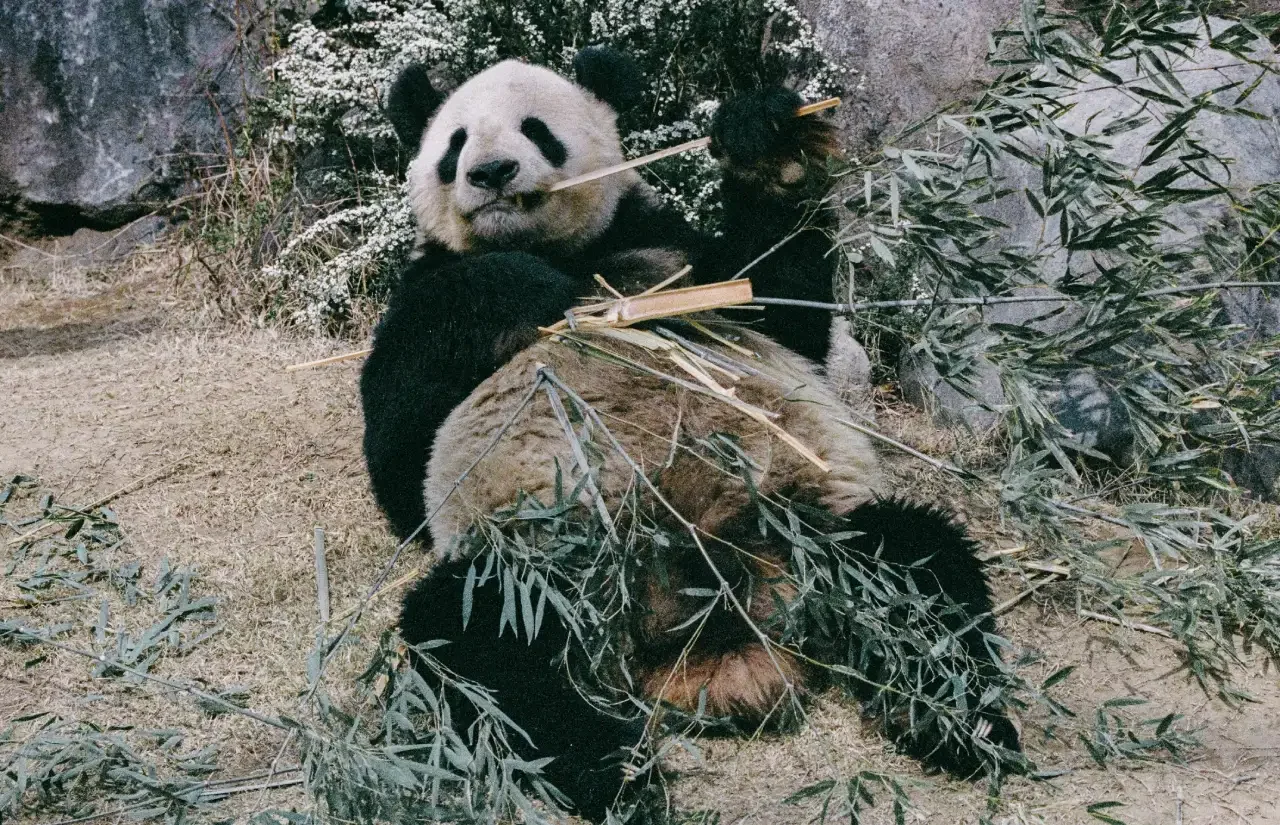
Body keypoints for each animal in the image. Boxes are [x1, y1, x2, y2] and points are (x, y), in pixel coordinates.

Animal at [360, 47, 1020, 821]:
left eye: (535, 130)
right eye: (456, 143)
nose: (491, 172)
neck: (564, 250)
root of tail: (706, 643)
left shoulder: (671, 253)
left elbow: (777, 306)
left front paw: (768, 148)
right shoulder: (422, 299)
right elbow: (400, 457)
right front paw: (520, 285)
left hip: (813, 531)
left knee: (921, 567)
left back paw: (961, 725)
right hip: (538, 568)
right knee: (482, 643)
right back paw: (618, 777)